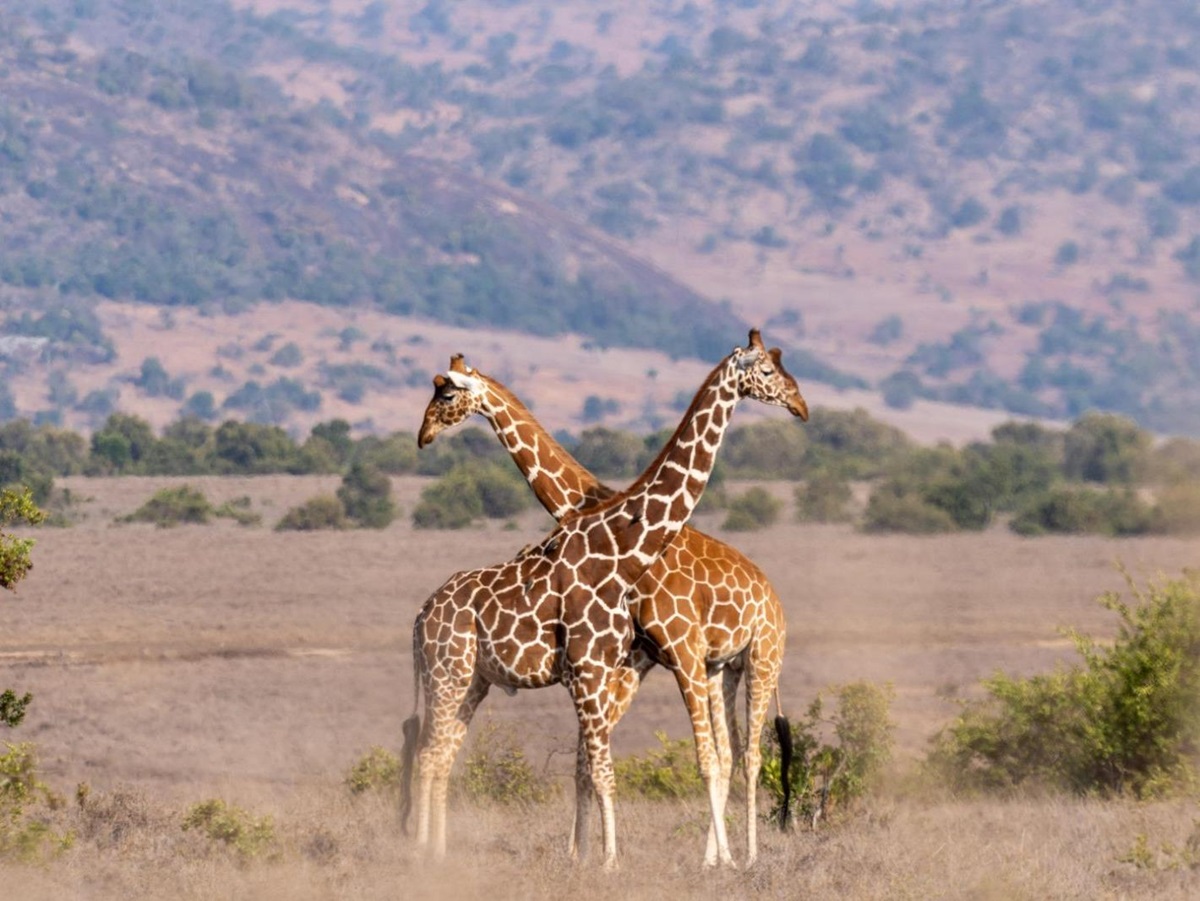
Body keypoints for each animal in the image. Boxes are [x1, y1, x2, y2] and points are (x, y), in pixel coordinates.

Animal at [401, 330, 808, 869]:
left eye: (444, 394)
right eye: (766, 369)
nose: (801, 405)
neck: (611, 537)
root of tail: (421, 615)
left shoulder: (624, 665)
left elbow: (607, 766)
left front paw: (594, 857)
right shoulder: (601, 669)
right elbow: (598, 768)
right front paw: (599, 859)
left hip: (755, 658)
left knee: (745, 755)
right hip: (456, 676)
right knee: (431, 753)